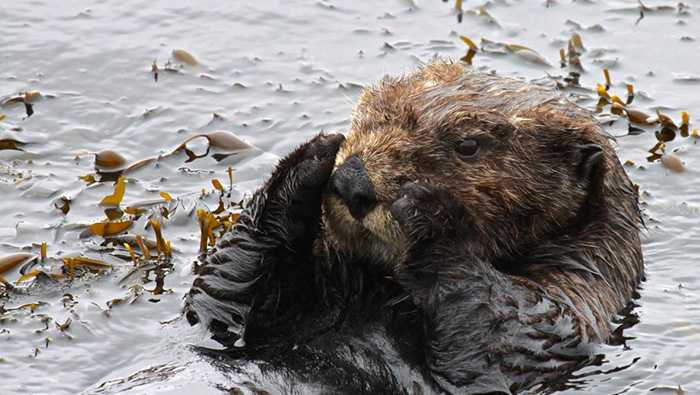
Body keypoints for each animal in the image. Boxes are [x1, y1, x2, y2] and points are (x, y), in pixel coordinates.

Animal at [183, 62, 644, 395]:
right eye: (365, 116)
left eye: (468, 145)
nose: (353, 180)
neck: (378, 291)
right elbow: (217, 297)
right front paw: (313, 157)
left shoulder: (567, 311)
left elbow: (499, 332)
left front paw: (430, 210)